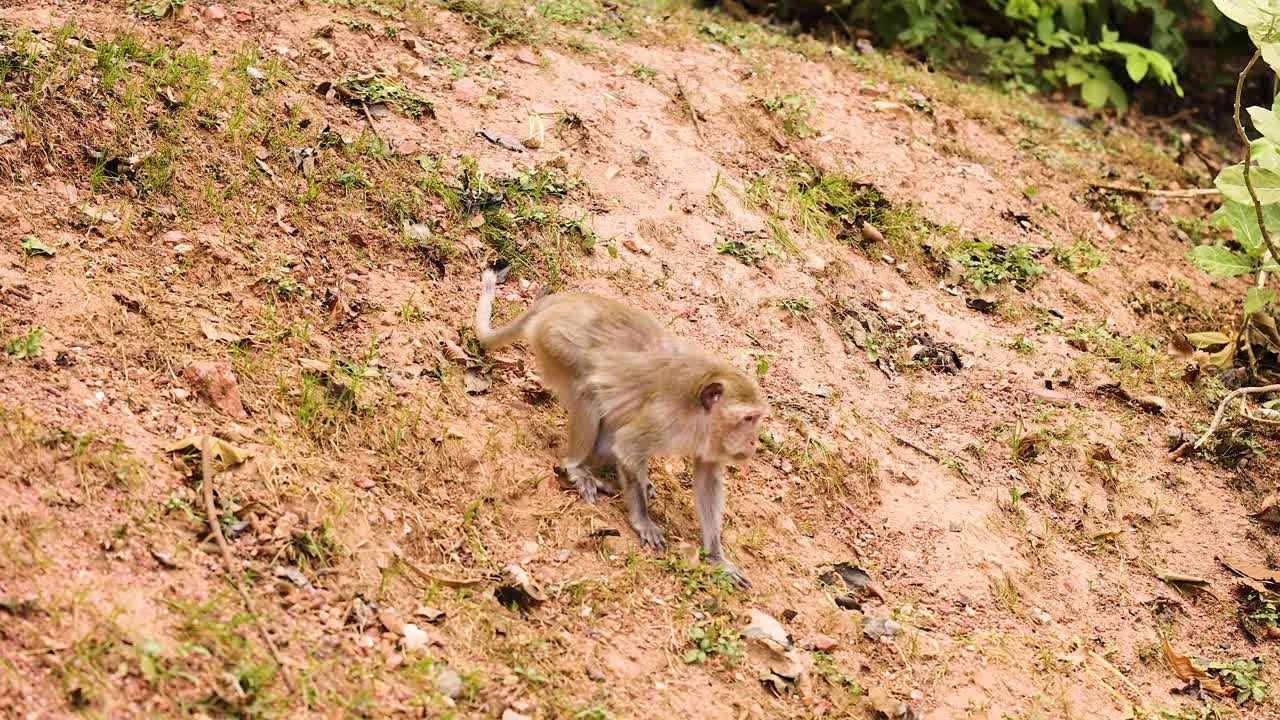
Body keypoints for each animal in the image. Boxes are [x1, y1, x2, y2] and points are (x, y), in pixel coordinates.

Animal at [475, 269, 768, 586]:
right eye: (748, 419)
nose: (753, 443)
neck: (698, 417)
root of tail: (560, 301)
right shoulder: (665, 418)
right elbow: (628, 444)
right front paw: (643, 520)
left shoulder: (709, 441)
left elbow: (706, 479)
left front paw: (716, 556)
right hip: (555, 342)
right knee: (588, 393)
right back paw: (577, 466)